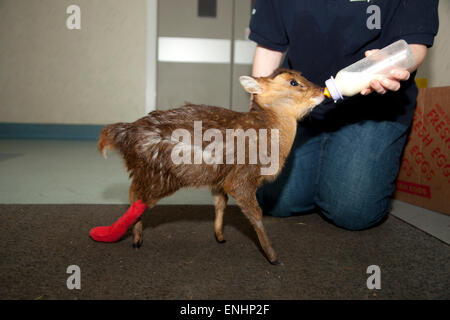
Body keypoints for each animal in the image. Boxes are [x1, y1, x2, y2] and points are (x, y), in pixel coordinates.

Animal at [97, 69, 324, 264]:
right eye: (293, 82)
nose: (321, 90)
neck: (269, 131)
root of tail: (125, 133)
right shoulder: (243, 176)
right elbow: (256, 213)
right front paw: (272, 256)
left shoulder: (219, 178)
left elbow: (220, 202)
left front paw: (220, 235)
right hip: (160, 174)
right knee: (136, 196)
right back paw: (130, 238)